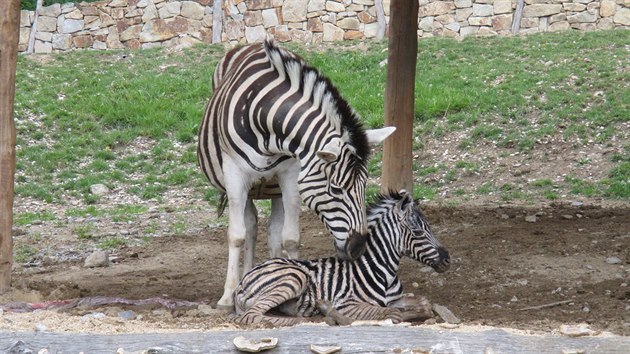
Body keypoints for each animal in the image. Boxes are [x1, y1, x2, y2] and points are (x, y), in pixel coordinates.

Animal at [199, 40, 396, 308]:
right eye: (336, 188)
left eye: (364, 186)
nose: (358, 249)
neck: (265, 118)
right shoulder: (234, 174)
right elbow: (237, 235)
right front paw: (227, 297)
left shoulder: (292, 174)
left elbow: (290, 237)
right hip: (246, 187)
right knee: (250, 226)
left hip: (273, 187)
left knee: (272, 230)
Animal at [235, 191, 452, 326]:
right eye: (417, 232)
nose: (447, 259)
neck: (384, 271)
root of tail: (242, 281)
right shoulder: (348, 303)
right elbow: (392, 313)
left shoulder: (394, 299)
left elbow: (425, 304)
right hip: (294, 277)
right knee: (250, 316)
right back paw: (321, 318)